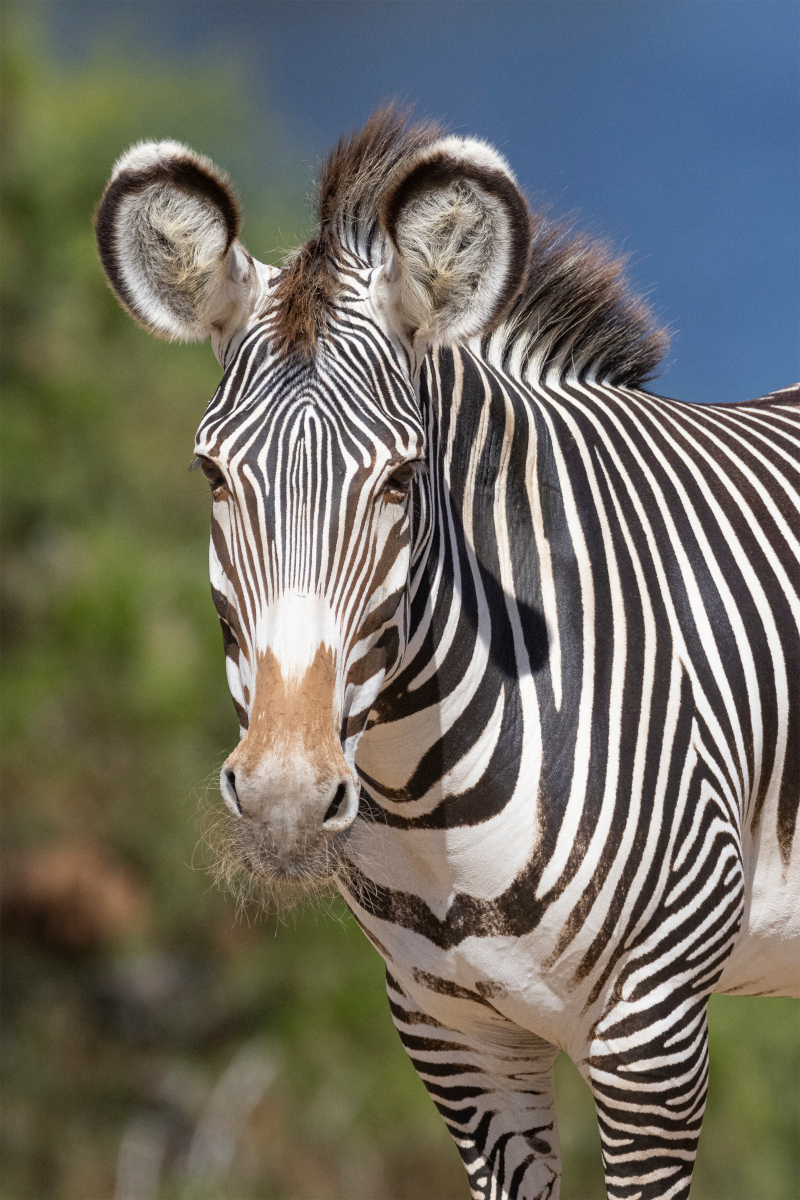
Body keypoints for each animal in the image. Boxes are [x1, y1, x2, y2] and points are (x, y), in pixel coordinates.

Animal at [92, 108, 796, 1195]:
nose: (285, 797)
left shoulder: (653, 1039)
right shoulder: (453, 1037)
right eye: (210, 474)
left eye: (400, 478)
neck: (434, 807)